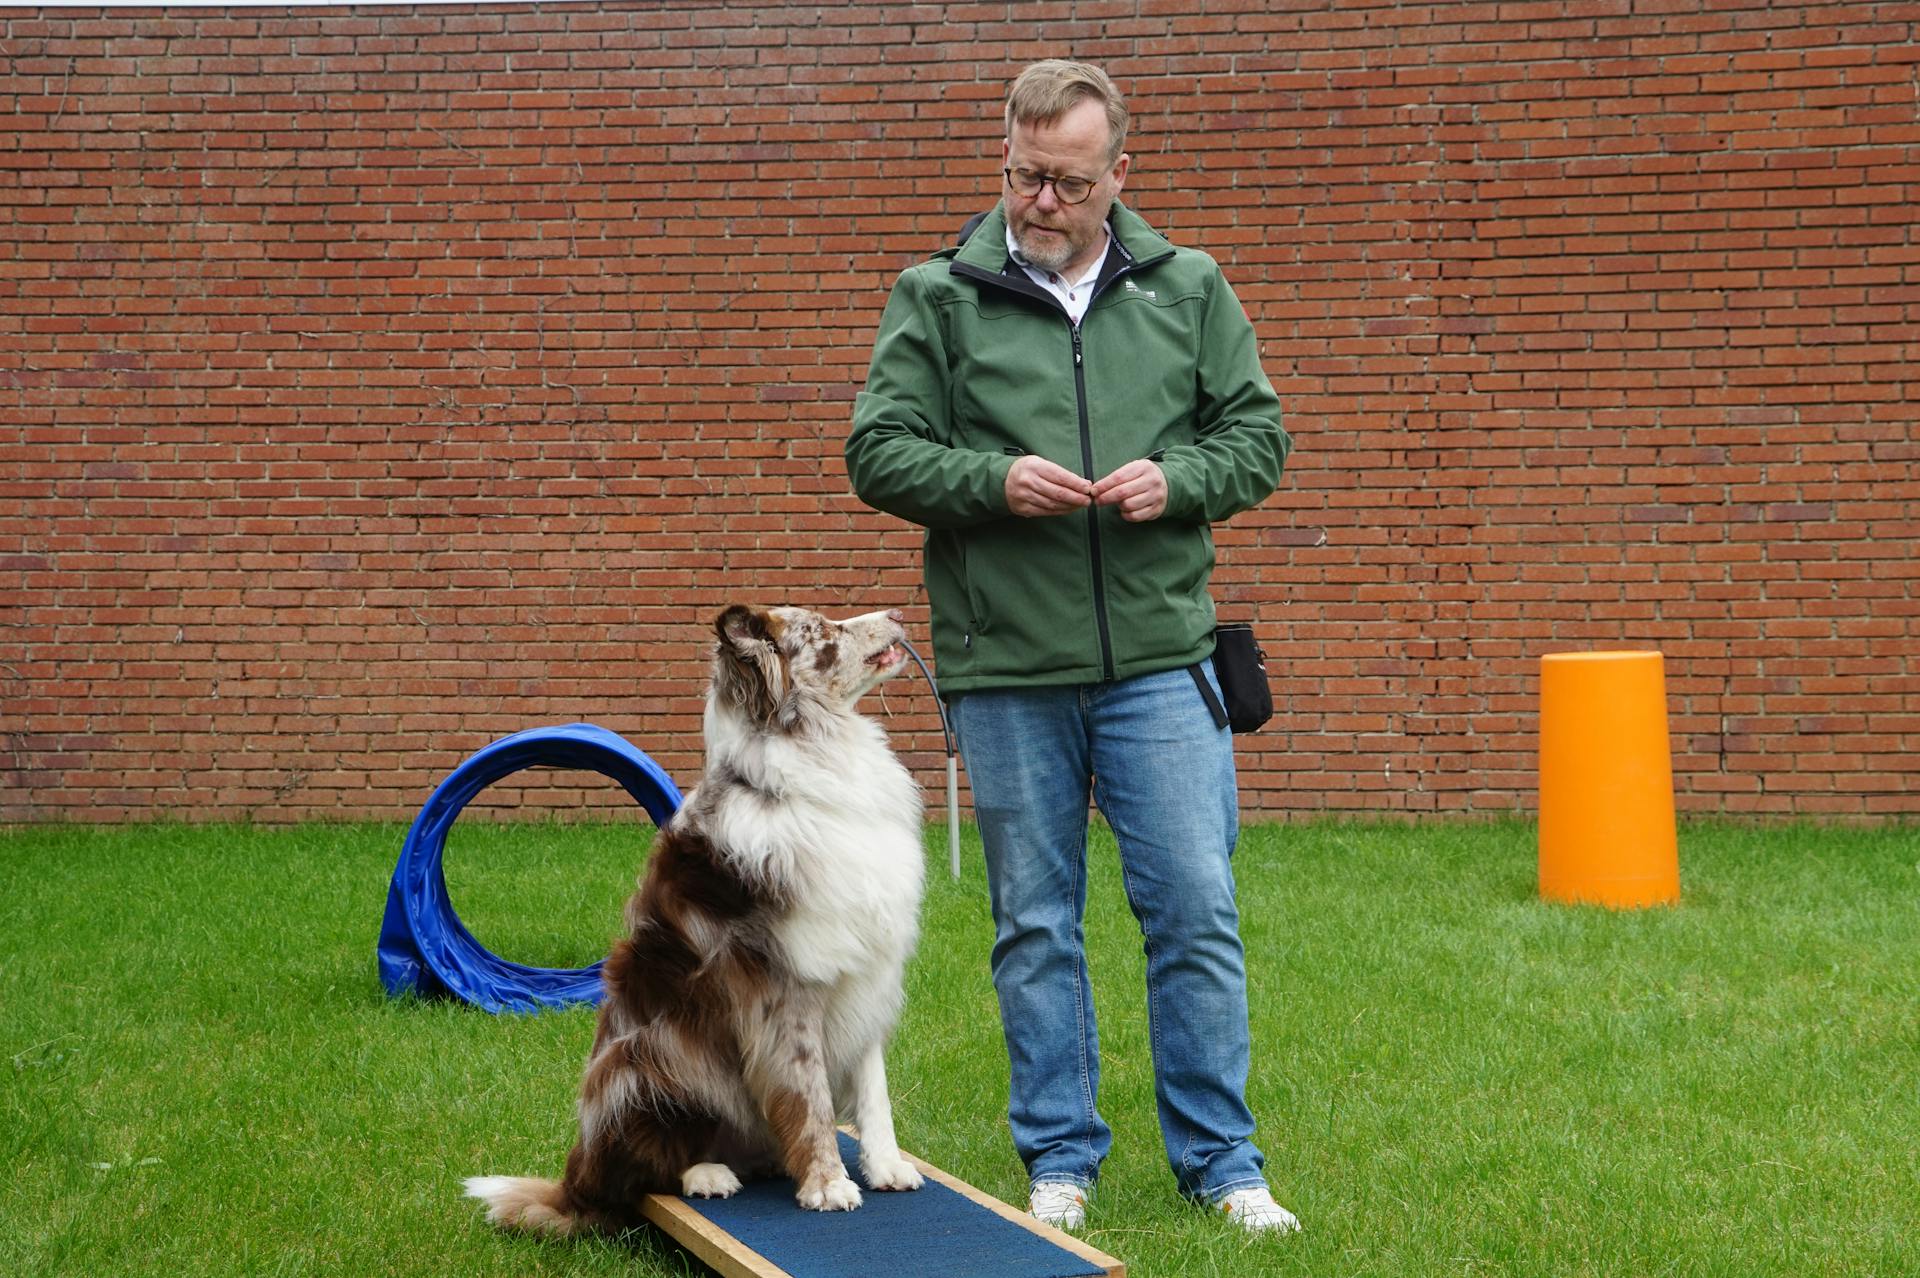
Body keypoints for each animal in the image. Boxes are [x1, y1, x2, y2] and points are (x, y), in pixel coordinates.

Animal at [456, 602, 921, 1228]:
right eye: (824, 630)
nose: (897, 611)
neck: (819, 747)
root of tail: (575, 1180)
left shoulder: (866, 966)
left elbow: (874, 1087)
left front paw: (886, 1166)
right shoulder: (786, 981)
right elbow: (808, 1090)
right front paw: (827, 1183)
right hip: (644, 1059)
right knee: (643, 1171)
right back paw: (706, 1174)